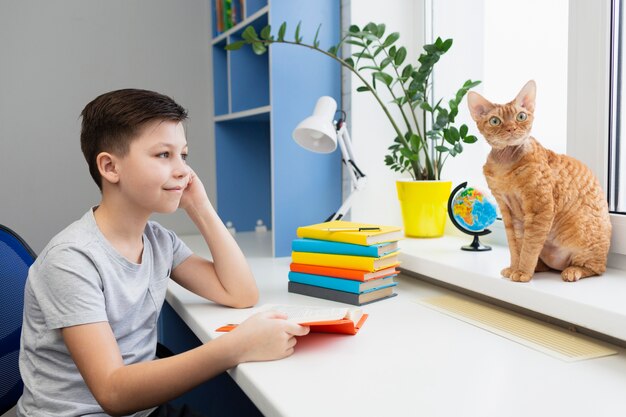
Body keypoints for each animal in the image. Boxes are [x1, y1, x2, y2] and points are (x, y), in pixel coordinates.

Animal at [466, 80, 608, 282]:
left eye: (521, 116)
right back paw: (538, 267)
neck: (505, 167)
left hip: (585, 239)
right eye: (495, 121)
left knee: (596, 268)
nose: (511, 128)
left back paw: (572, 271)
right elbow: (515, 246)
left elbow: (529, 246)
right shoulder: (507, 211)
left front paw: (522, 272)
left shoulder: (540, 209)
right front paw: (514, 268)